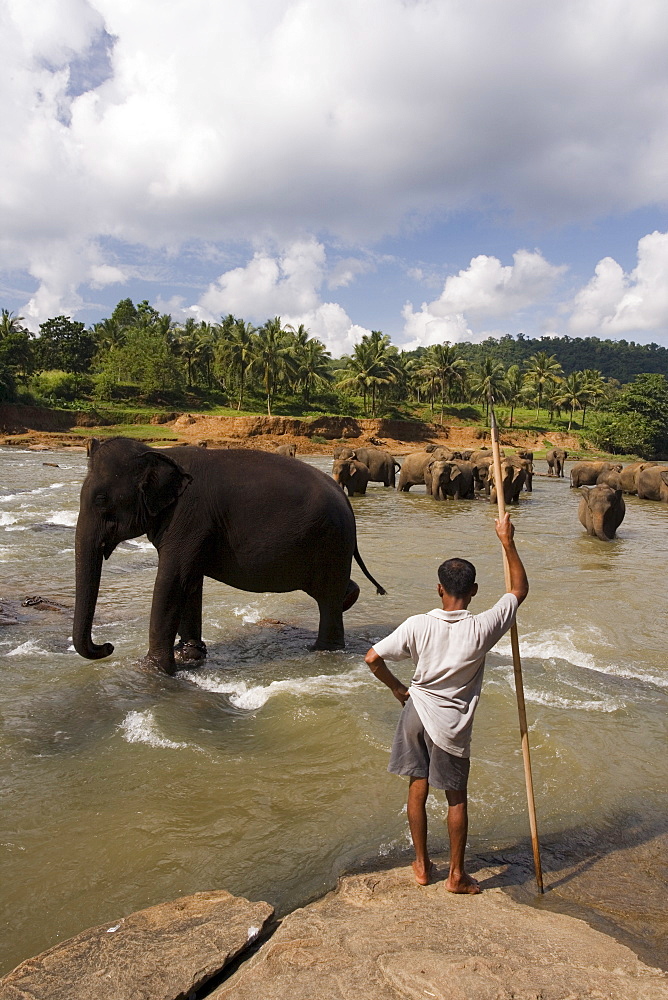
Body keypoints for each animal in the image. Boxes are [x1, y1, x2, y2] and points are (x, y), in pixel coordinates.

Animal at [73, 436, 386, 672]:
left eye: (101, 500)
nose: (107, 646)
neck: (158, 453)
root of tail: (346, 501)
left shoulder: (189, 517)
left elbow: (171, 581)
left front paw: (153, 670)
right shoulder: (193, 527)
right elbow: (189, 581)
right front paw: (190, 655)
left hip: (331, 542)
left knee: (327, 599)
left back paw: (323, 650)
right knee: (331, 593)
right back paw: (347, 602)